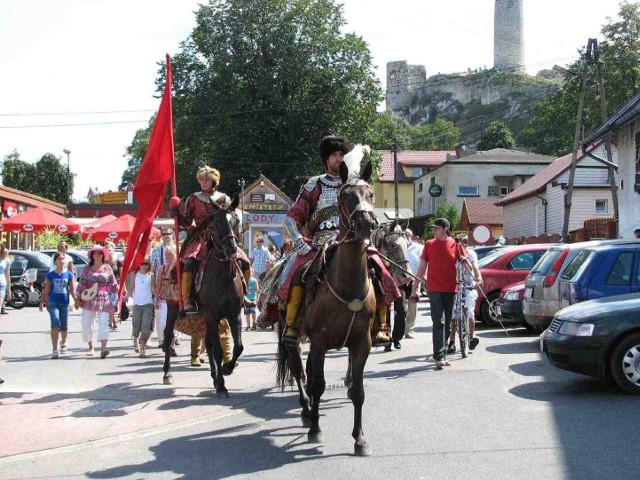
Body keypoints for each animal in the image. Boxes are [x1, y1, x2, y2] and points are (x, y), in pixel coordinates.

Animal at [162, 193, 245, 396]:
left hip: (203, 316)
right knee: (168, 336)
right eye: (216, 222)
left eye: (236, 220)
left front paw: (226, 369)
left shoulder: (233, 315)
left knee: (207, 342)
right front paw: (222, 385)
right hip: (173, 308)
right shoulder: (213, 315)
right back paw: (167, 373)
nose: (232, 249)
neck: (223, 277)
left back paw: (214, 377)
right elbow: (217, 351)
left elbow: (238, 346)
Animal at [276, 160, 378, 458]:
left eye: (370, 194)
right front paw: (315, 430)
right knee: (299, 371)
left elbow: (357, 391)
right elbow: (318, 385)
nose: (366, 224)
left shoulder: (361, 343)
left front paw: (360, 439)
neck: (347, 287)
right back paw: (307, 412)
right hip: (292, 335)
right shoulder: (320, 342)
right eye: (345, 197)